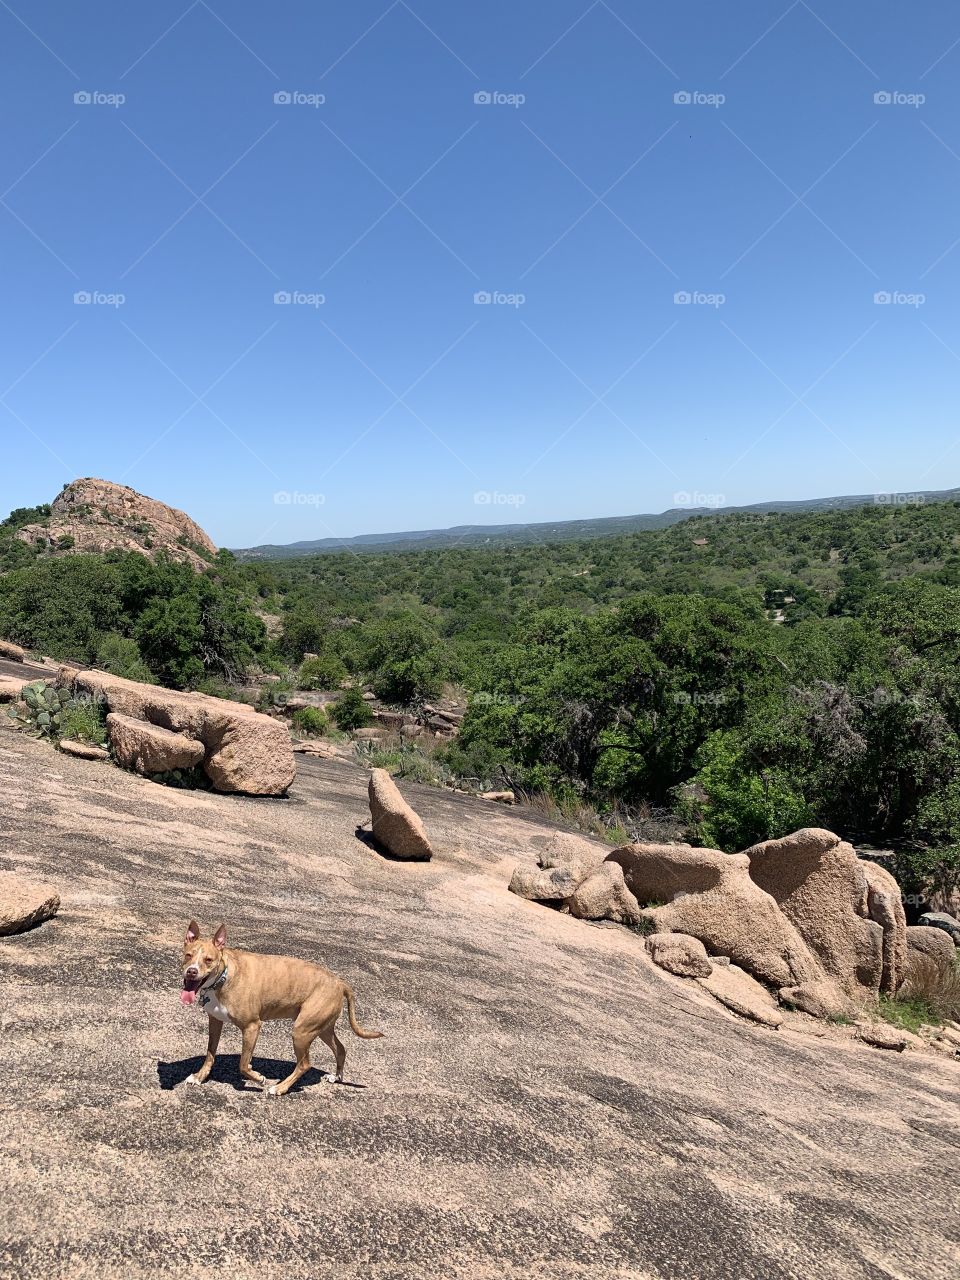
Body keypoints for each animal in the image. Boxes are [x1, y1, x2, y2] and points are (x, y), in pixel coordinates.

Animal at [180, 921, 384, 1100]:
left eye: (208, 960)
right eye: (188, 955)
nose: (191, 971)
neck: (224, 976)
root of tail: (340, 982)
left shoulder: (252, 1026)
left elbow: (243, 1064)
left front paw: (258, 1078)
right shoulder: (215, 1021)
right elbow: (210, 1054)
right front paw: (199, 1077)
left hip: (301, 1031)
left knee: (304, 1064)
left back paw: (280, 1088)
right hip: (322, 1028)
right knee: (340, 1049)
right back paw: (336, 1076)